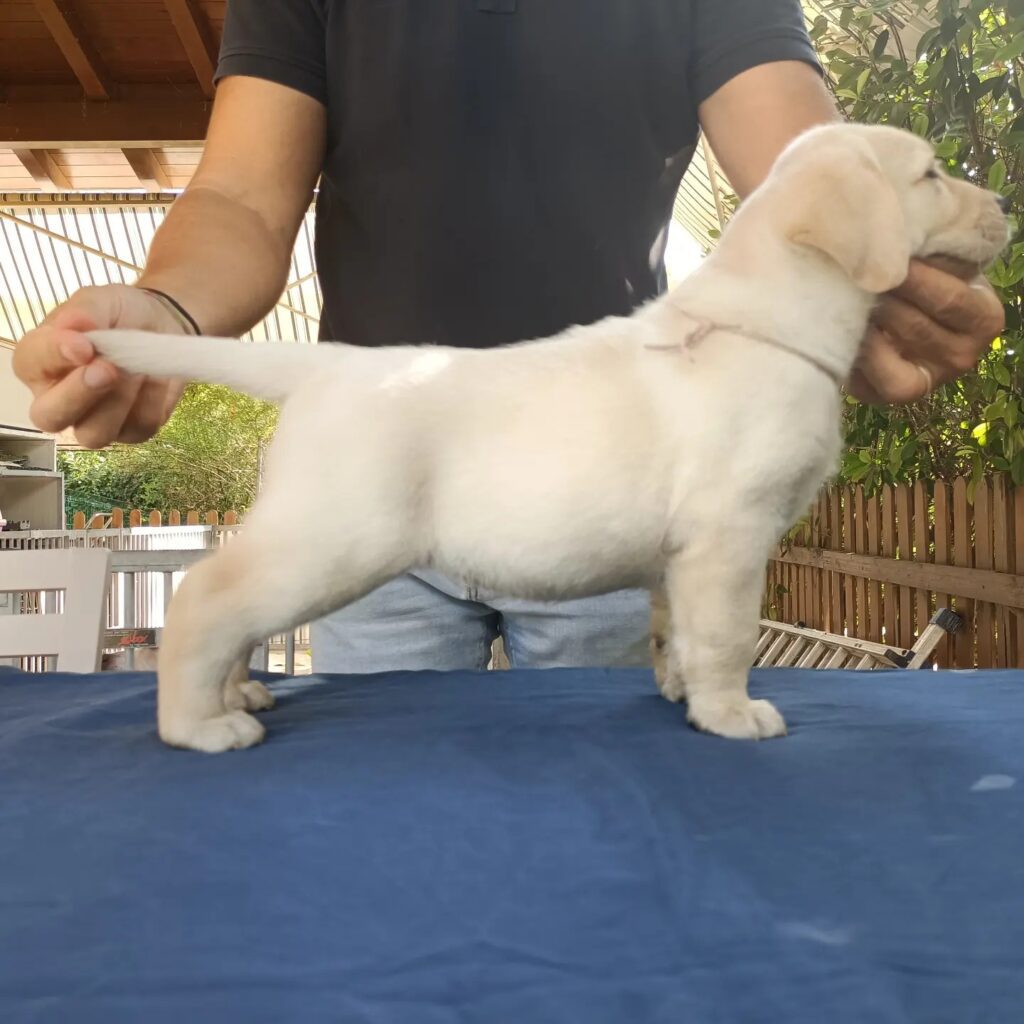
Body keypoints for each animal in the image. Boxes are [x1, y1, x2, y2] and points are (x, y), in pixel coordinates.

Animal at [90, 125, 1007, 753]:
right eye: (929, 176)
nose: (1003, 206)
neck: (767, 323)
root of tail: (325, 368)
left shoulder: (683, 557)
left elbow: (678, 633)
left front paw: (682, 696)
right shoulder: (729, 534)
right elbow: (726, 635)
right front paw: (730, 715)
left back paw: (236, 696)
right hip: (332, 538)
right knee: (206, 598)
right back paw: (200, 725)